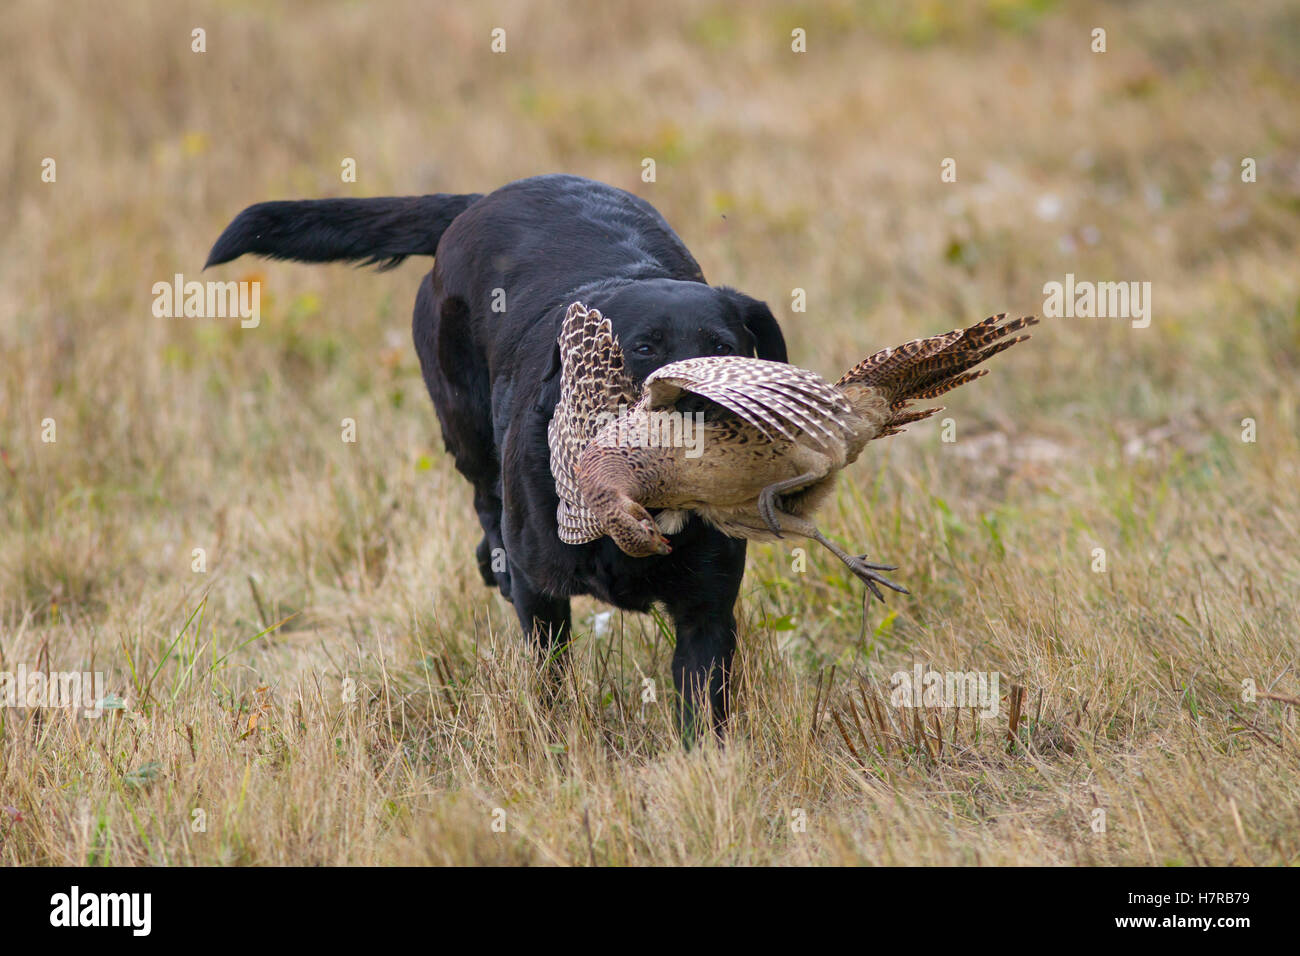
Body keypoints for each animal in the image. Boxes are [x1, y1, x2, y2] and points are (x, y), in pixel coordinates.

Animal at [208, 174, 785, 738]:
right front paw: (552, 737)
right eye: (645, 347)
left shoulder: (707, 607)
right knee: (486, 505)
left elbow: (702, 705)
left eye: (724, 346)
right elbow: (549, 675)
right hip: (465, 428)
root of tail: (484, 198)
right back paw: (495, 562)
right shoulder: (541, 592)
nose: (700, 403)